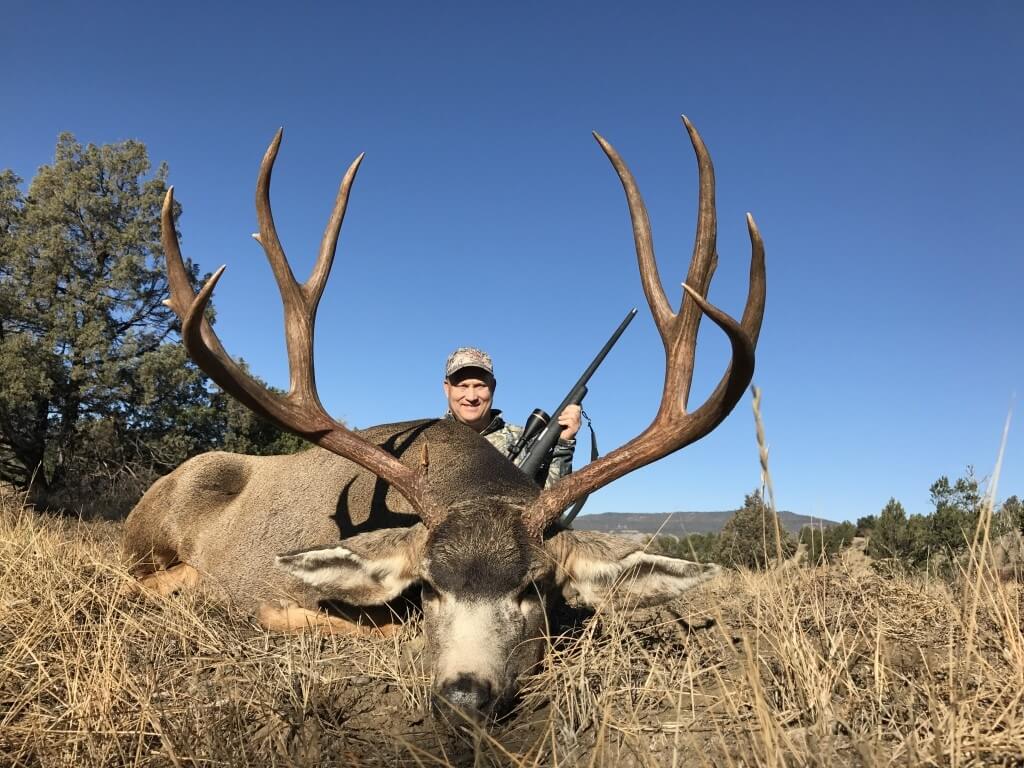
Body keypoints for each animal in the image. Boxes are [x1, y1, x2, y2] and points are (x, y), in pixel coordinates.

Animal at [122, 116, 765, 720]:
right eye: (429, 586)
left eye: (534, 587)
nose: (464, 694)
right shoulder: (286, 591)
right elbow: (336, 621)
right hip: (153, 522)